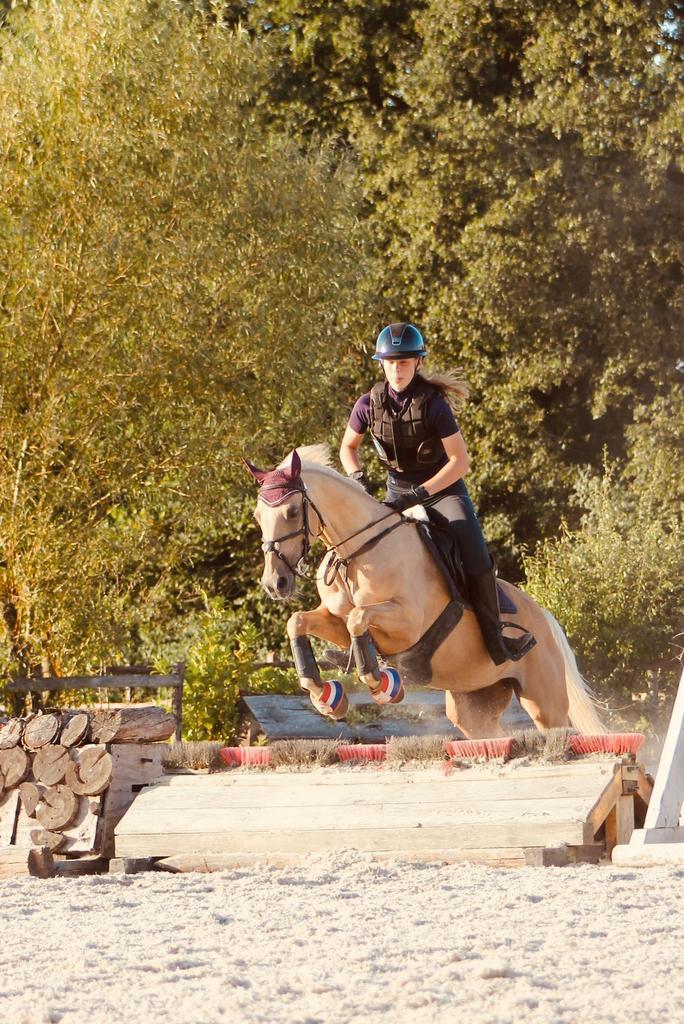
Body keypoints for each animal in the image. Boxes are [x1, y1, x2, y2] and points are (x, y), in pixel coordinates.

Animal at [245, 444, 604, 739]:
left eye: (293, 512)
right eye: (257, 515)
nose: (275, 583)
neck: (357, 553)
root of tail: (543, 616)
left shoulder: (407, 624)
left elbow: (358, 617)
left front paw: (384, 686)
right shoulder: (336, 621)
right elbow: (299, 621)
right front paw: (325, 697)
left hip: (545, 703)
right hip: (475, 702)